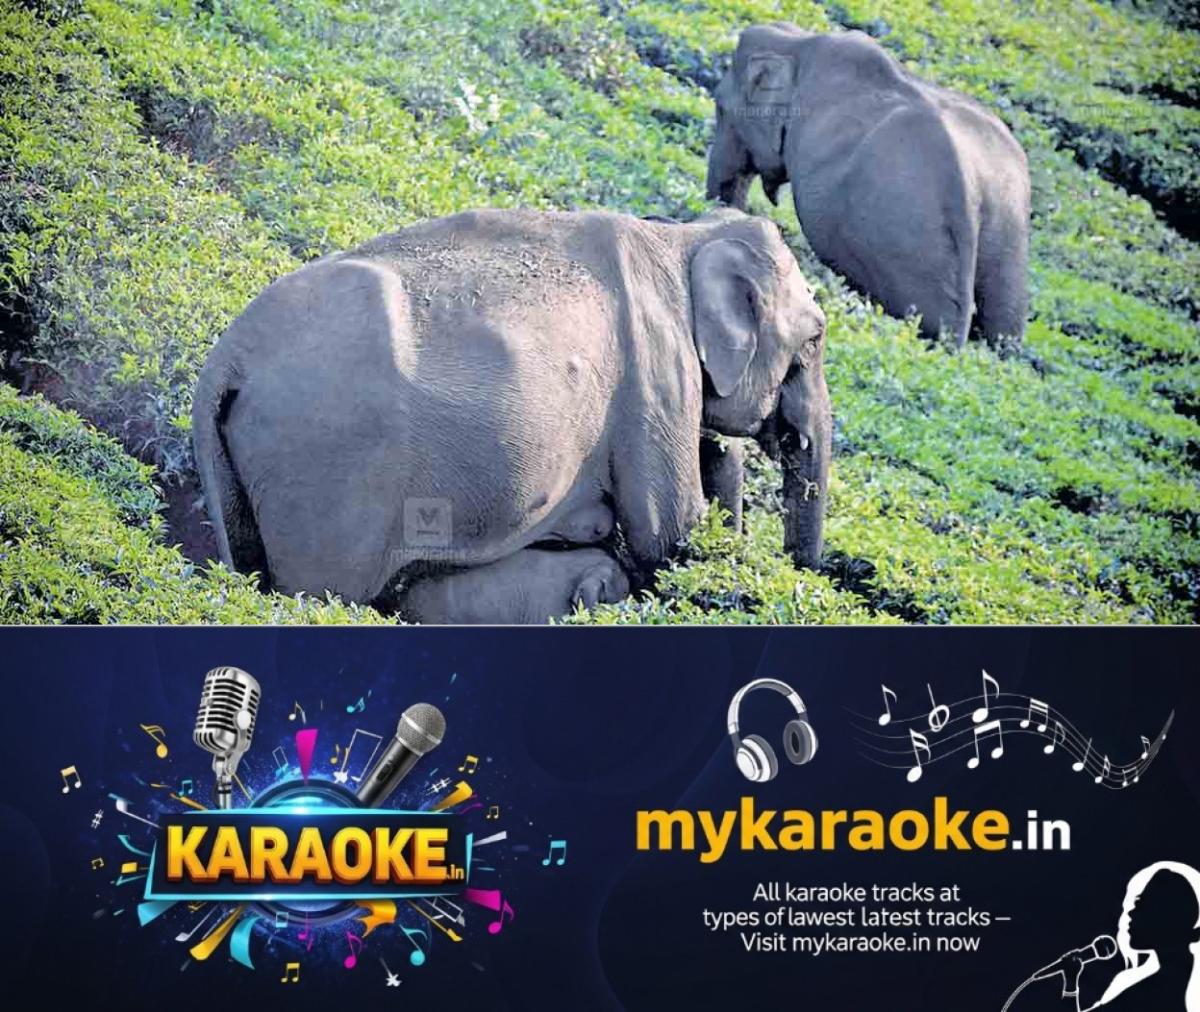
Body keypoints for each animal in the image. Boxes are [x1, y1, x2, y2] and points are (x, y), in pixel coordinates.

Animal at [192, 206, 829, 620]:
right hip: (333, 475)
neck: (683, 236)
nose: (800, 579)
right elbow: (669, 538)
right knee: (322, 592)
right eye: (818, 337)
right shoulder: (655, 372)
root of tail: (227, 361)